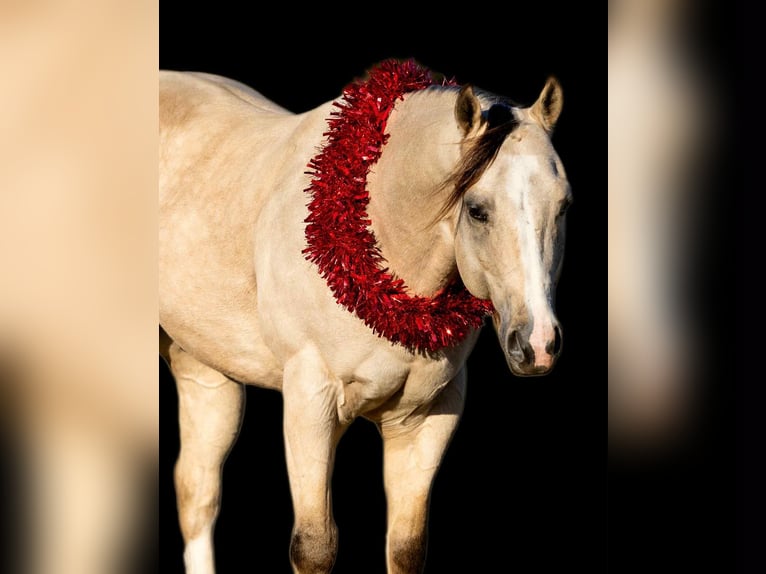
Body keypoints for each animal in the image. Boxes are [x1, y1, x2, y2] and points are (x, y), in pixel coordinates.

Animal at [159, 59, 571, 573]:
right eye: (477, 211)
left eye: (563, 205)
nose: (538, 344)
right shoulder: (310, 402)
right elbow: (314, 547)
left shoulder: (426, 419)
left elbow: (406, 546)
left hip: (205, 372)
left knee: (196, 491)